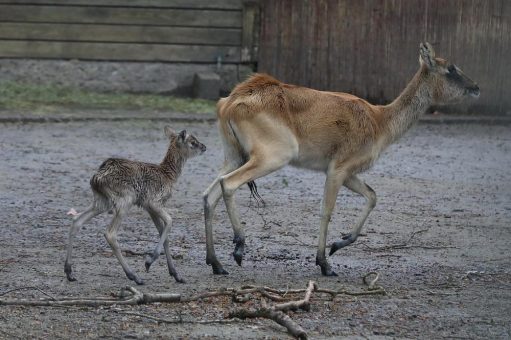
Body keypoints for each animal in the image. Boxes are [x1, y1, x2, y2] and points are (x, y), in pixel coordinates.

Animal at [64, 125, 206, 284]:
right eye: (193, 142)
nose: (204, 147)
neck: (168, 175)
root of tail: (96, 178)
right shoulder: (153, 202)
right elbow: (169, 221)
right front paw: (148, 262)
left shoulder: (148, 207)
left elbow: (163, 232)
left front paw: (176, 274)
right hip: (125, 200)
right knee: (110, 234)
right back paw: (134, 276)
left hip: (101, 202)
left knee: (76, 220)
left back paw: (69, 272)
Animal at [203, 42, 480, 276]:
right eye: (451, 68)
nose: (476, 87)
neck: (380, 122)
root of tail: (229, 102)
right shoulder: (337, 169)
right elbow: (327, 210)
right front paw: (325, 263)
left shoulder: (348, 173)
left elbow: (372, 196)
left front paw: (339, 243)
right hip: (272, 157)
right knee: (228, 184)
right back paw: (239, 247)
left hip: (234, 156)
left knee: (209, 194)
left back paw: (216, 264)